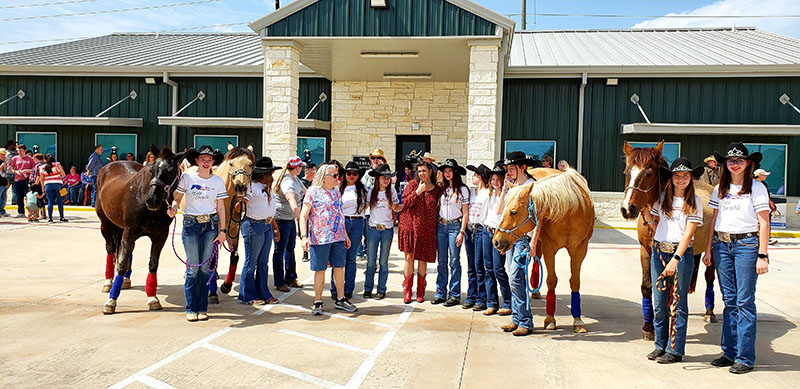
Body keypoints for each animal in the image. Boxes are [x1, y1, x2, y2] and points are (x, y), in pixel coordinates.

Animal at [97, 145, 188, 312]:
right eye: (152, 170)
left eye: (171, 171)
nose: (152, 200)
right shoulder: (129, 232)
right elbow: (121, 264)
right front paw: (111, 301)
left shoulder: (160, 236)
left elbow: (153, 264)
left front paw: (152, 298)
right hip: (105, 223)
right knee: (110, 248)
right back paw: (108, 282)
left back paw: (125, 280)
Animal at [490, 168, 596, 332]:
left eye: (513, 212)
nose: (496, 241)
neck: (570, 211)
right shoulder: (549, 247)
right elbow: (551, 280)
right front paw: (550, 319)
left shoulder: (580, 249)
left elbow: (575, 281)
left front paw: (578, 321)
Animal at [620, 140, 720, 340]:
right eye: (627, 172)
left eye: (649, 173)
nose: (628, 208)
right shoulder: (646, 251)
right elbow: (647, 286)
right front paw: (648, 327)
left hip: (711, 250)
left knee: (709, 277)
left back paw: (709, 312)